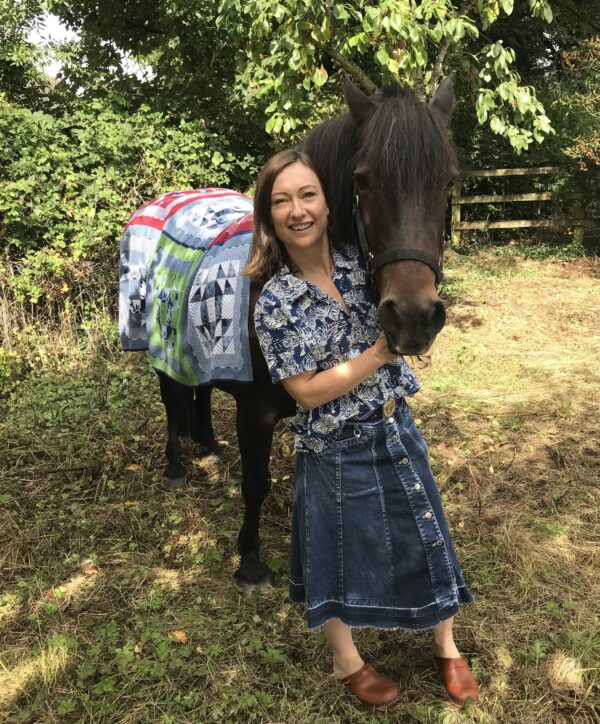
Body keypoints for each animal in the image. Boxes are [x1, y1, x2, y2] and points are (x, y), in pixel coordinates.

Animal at [119, 76, 458, 592]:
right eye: (363, 180)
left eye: (448, 182)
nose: (413, 317)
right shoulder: (256, 413)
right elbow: (256, 483)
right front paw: (250, 562)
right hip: (160, 346)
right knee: (172, 398)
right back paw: (176, 464)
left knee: (199, 391)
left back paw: (209, 447)